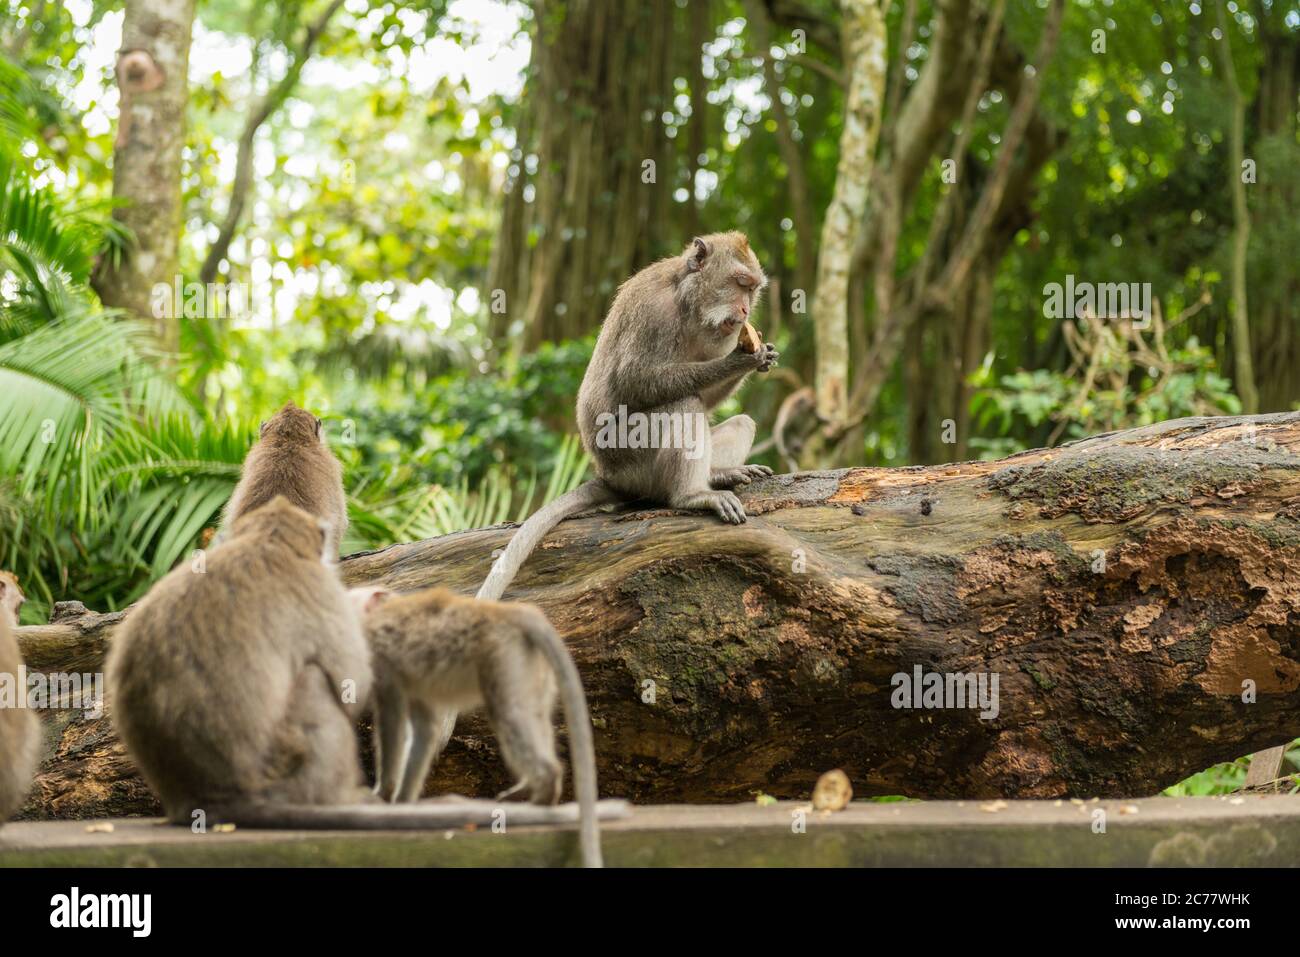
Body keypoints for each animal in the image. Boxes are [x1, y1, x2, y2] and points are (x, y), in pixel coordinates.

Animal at [353, 582, 611, 868]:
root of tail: (508, 613)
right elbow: (425, 727)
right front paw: (402, 803)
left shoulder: (382, 662)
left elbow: (392, 718)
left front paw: (383, 794)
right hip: (532, 667)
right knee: (533, 714)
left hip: (505, 658)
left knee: (508, 712)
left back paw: (542, 792)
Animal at [480, 230, 774, 598]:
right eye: (740, 283)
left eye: (752, 289)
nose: (746, 308)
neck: (687, 302)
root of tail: (609, 475)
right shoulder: (653, 310)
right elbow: (636, 382)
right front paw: (739, 361)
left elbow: (708, 399)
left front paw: (762, 355)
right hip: (634, 459)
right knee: (684, 405)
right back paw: (692, 495)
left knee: (737, 420)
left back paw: (719, 474)